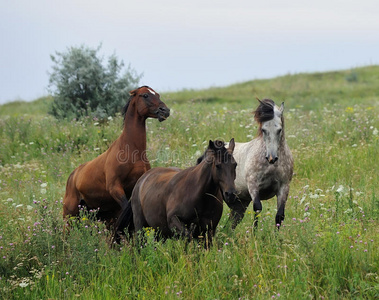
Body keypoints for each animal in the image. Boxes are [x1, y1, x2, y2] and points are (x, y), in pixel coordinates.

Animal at [63, 85, 170, 224]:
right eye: (145, 95)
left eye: (157, 94)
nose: (165, 111)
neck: (131, 151)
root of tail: (72, 176)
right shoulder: (114, 187)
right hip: (69, 215)